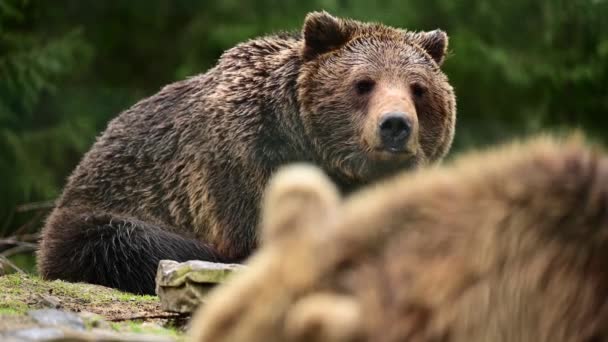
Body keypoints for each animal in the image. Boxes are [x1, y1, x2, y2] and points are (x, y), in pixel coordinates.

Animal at [36, 10, 456, 294]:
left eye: (418, 88)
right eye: (363, 83)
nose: (395, 125)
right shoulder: (245, 161)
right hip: (99, 211)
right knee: (125, 241)